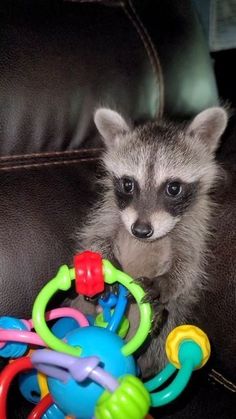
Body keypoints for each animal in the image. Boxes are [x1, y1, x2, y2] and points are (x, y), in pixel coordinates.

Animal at [76, 106, 228, 378]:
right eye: (128, 184)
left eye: (173, 188)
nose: (141, 230)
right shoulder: (110, 213)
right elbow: (95, 238)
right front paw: (104, 266)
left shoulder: (194, 229)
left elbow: (188, 268)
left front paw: (165, 282)